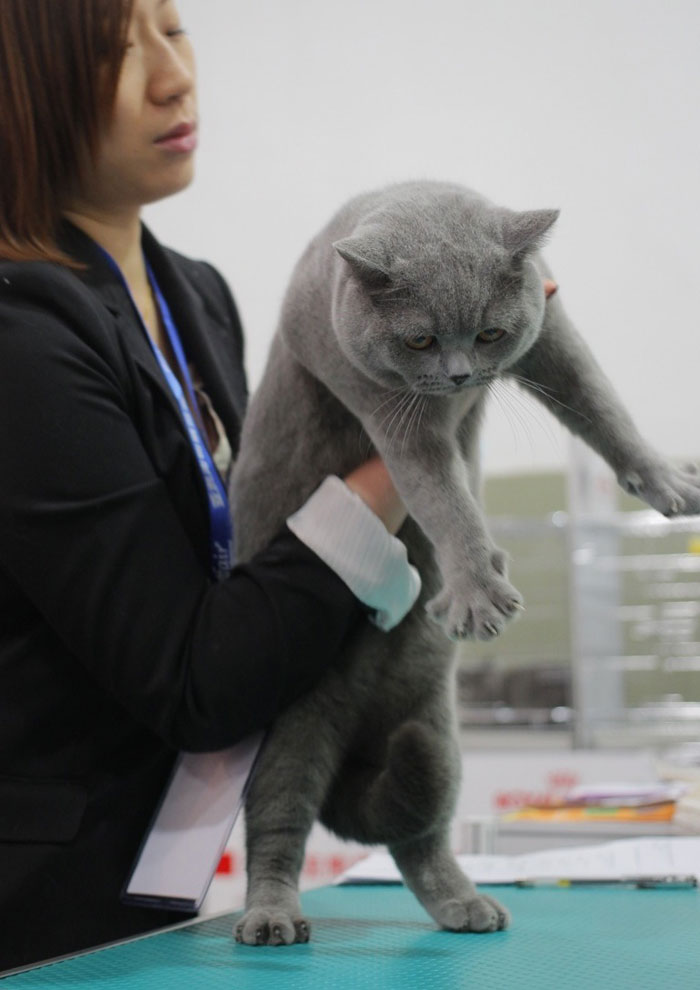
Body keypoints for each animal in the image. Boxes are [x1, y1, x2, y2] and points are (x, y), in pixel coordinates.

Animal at [230, 182, 700, 948]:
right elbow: (444, 499)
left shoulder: (551, 330)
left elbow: (602, 404)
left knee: (419, 836)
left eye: (489, 334)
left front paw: (668, 482)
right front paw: (479, 592)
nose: (458, 376)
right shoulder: (392, 408)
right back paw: (271, 916)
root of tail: (361, 736)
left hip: (438, 735)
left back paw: (467, 905)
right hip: (290, 730)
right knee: (278, 827)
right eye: (419, 338)